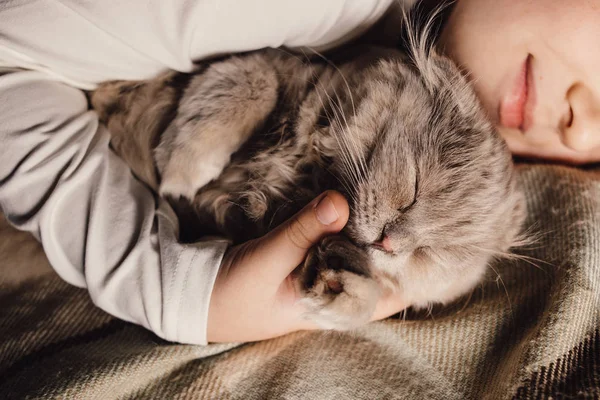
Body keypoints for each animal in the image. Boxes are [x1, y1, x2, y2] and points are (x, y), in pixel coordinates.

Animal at [89, 21, 524, 330]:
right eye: (413, 190)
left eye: (431, 252)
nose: (389, 242)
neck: (306, 176)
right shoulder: (258, 63)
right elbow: (250, 88)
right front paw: (182, 173)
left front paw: (345, 289)